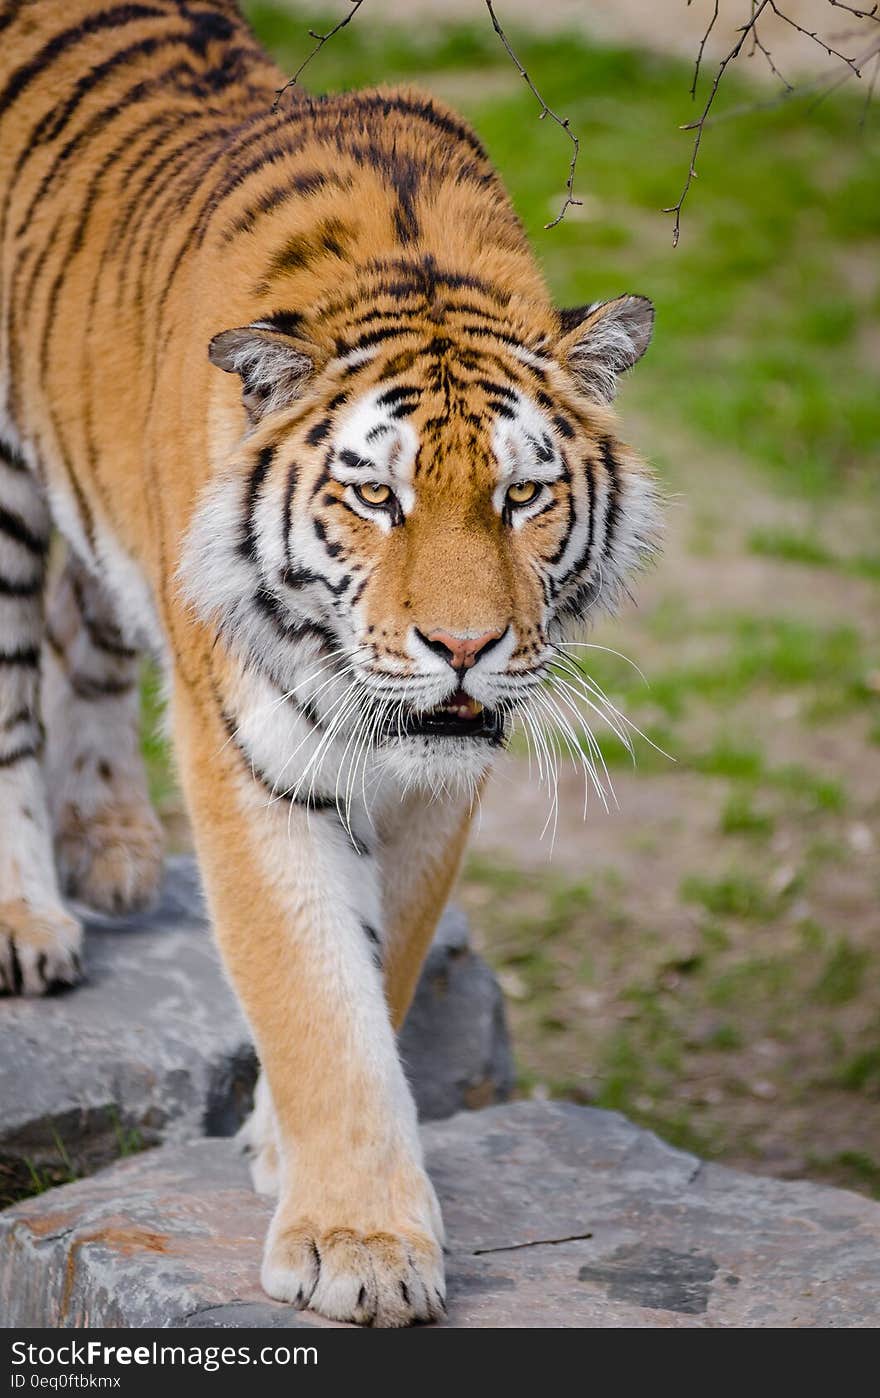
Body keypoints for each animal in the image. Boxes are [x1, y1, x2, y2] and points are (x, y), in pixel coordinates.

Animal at [0, 0, 654, 1325]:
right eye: (374, 496)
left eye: (522, 497)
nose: (465, 648)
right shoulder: (247, 753)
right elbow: (310, 989)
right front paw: (360, 1245)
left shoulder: (437, 783)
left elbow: (381, 966)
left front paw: (279, 1148)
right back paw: (27, 921)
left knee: (82, 633)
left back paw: (114, 848)